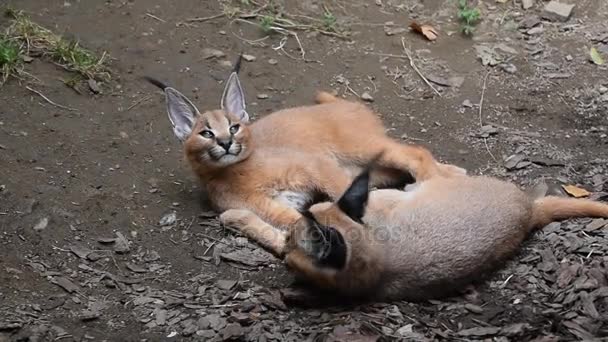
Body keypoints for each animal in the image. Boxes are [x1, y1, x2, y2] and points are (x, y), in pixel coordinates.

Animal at [144, 57, 466, 234]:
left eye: (234, 127)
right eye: (206, 133)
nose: (225, 142)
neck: (234, 172)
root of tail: (343, 102)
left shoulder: (315, 165)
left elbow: (339, 191)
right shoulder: (274, 207)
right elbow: (296, 222)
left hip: (359, 148)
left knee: (415, 152)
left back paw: (440, 182)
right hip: (370, 168)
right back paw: (454, 174)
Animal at [221, 156, 608, 300]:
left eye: (294, 238)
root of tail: (529, 213)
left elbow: (272, 234)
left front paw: (236, 217)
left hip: (417, 189)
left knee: (424, 171)